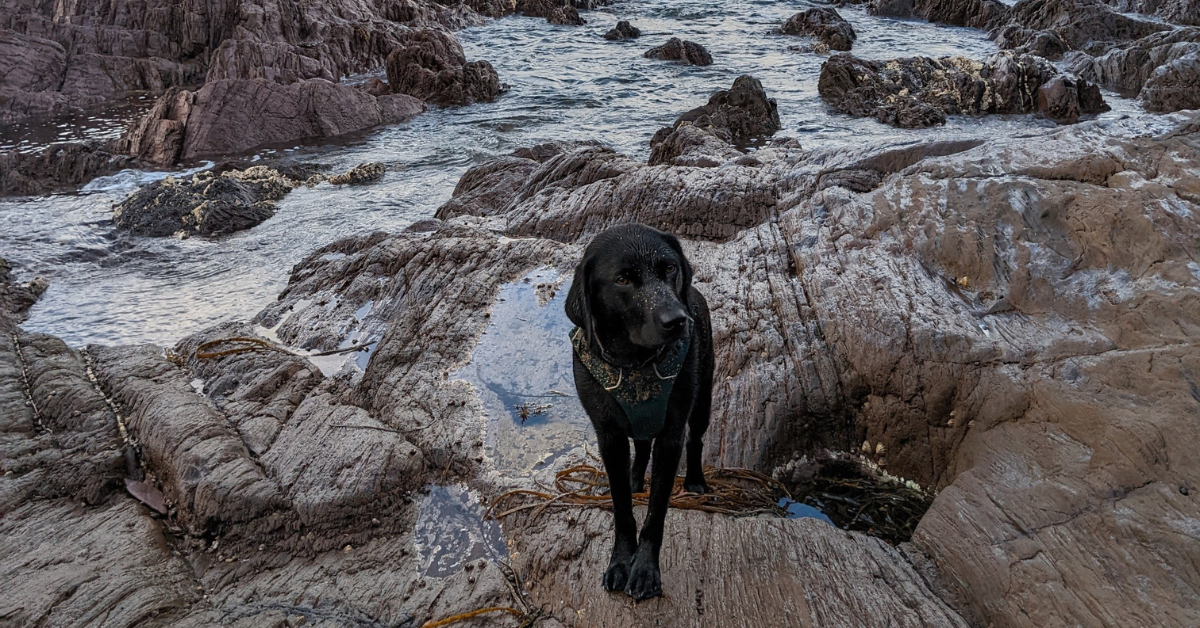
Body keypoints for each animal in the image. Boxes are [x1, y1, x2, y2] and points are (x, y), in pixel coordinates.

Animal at [564, 223, 710, 602]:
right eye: (623, 279)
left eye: (669, 268)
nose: (678, 320)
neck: (636, 364)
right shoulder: (608, 436)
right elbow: (622, 508)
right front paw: (619, 562)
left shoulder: (671, 437)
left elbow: (656, 514)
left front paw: (644, 570)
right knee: (641, 445)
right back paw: (634, 478)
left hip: (703, 399)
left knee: (697, 438)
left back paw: (695, 480)